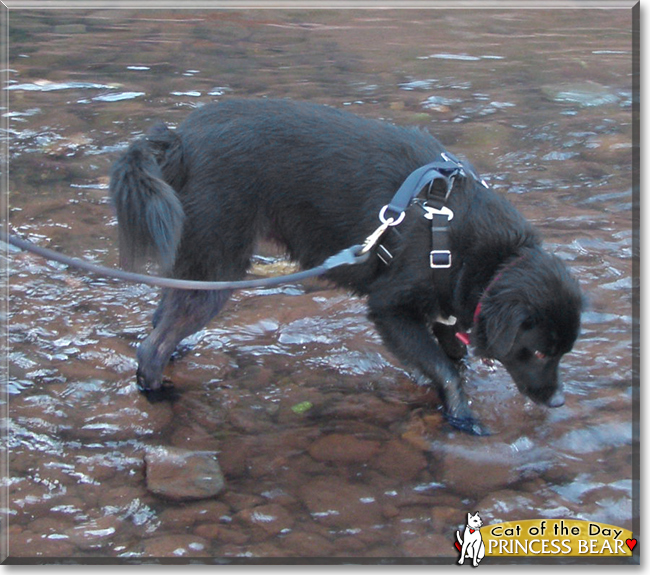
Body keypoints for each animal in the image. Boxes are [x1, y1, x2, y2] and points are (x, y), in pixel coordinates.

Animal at [109, 99, 580, 434]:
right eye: (539, 351)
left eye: (564, 352)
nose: (559, 403)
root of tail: (179, 140)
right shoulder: (389, 310)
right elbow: (447, 371)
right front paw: (462, 418)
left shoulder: (447, 311)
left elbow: (453, 357)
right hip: (219, 267)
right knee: (151, 347)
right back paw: (157, 394)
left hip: (200, 263)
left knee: (161, 316)